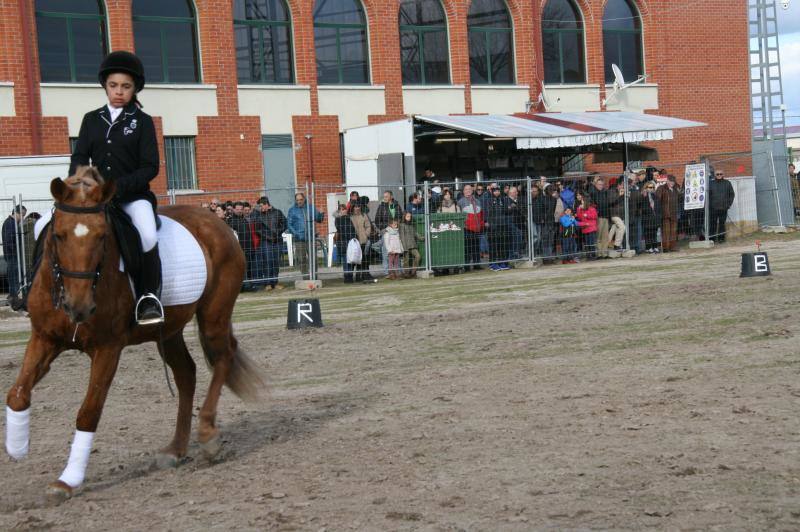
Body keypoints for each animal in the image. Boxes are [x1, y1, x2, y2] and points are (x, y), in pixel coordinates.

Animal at [3, 168, 266, 500]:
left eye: (102, 236)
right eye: (59, 235)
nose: (79, 307)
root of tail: (217, 223)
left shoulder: (108, 349)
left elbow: (89, 411)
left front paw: (67, 480)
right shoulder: (44, 338)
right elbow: (17, 394)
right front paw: (17, 446)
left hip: (213, 316)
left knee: (222, 358)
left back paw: (207, 435)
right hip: (169, 330)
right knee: (187, 374)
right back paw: (176, 449)